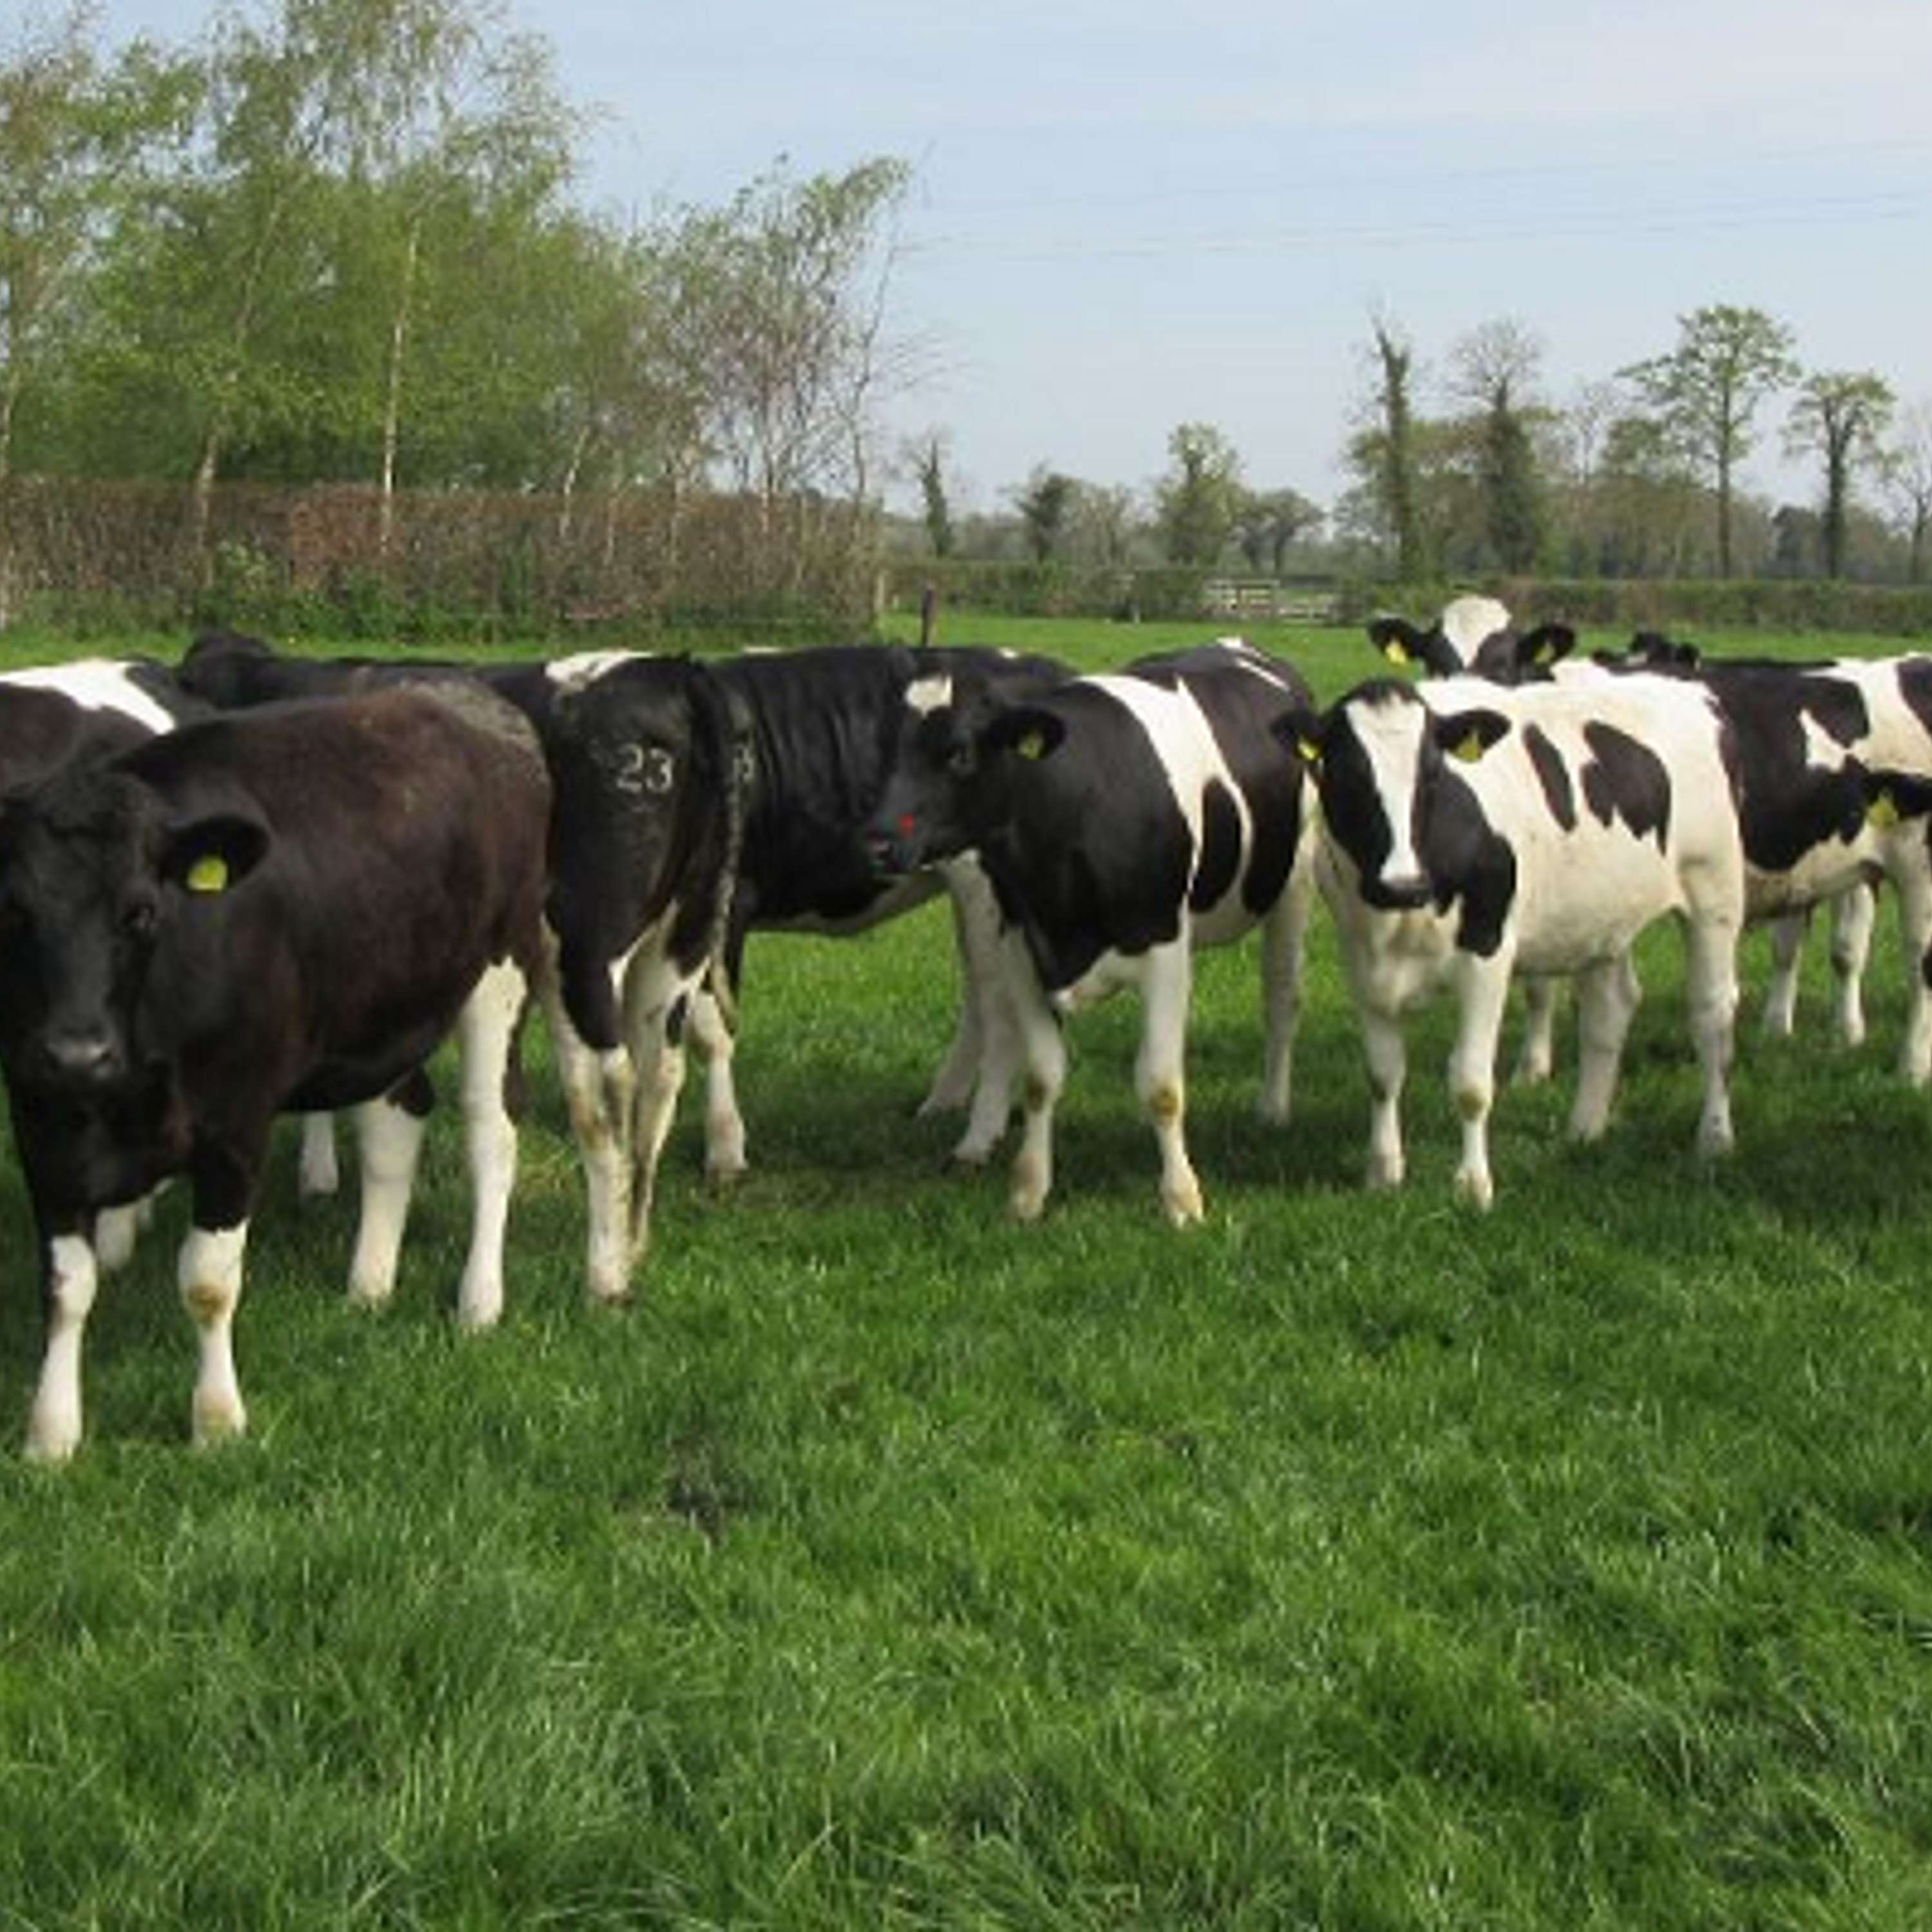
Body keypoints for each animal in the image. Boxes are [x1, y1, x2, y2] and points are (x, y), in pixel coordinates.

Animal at [0, 688, 553, 1453]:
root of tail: (465, 701)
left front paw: (216, 1421)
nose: (77, 1053)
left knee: (490, 1131)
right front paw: (50, 1435)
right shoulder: (41, 1123)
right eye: (15, 912)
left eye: (140, 912)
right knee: (398, 1121)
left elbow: (208, 1280)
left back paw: (480, 1299)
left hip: (504, 967)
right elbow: (62, 1286)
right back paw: (370, 1282)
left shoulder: (236, 1123)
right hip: (383, 1005)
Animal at [869, 645, 1321, 1221]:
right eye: (888, 751)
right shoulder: (1023, 949)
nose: (877, 843)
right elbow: (1042, 1079)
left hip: (1294, 881)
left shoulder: (1165, 952)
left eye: (960, 754)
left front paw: (1181, 1199)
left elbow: (1162, 1086)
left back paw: (1272, 1108)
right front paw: (1028, 1192)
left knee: (1282, 998)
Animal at [1275, 672, 1762, 1198]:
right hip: (1603, 915)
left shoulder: (1487, 952)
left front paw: (1472, 1186)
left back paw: (1715, 1138)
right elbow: (1383, 1073)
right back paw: (1585, 1129)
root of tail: (1691, 688)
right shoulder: (1362, 957)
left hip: (1715, 890)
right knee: (1609, 1010)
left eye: (1432, 775)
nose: (1402, 885)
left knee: (1712, 1013)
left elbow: (1470, 1082)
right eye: (1345, 776)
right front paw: (1383, 1172)